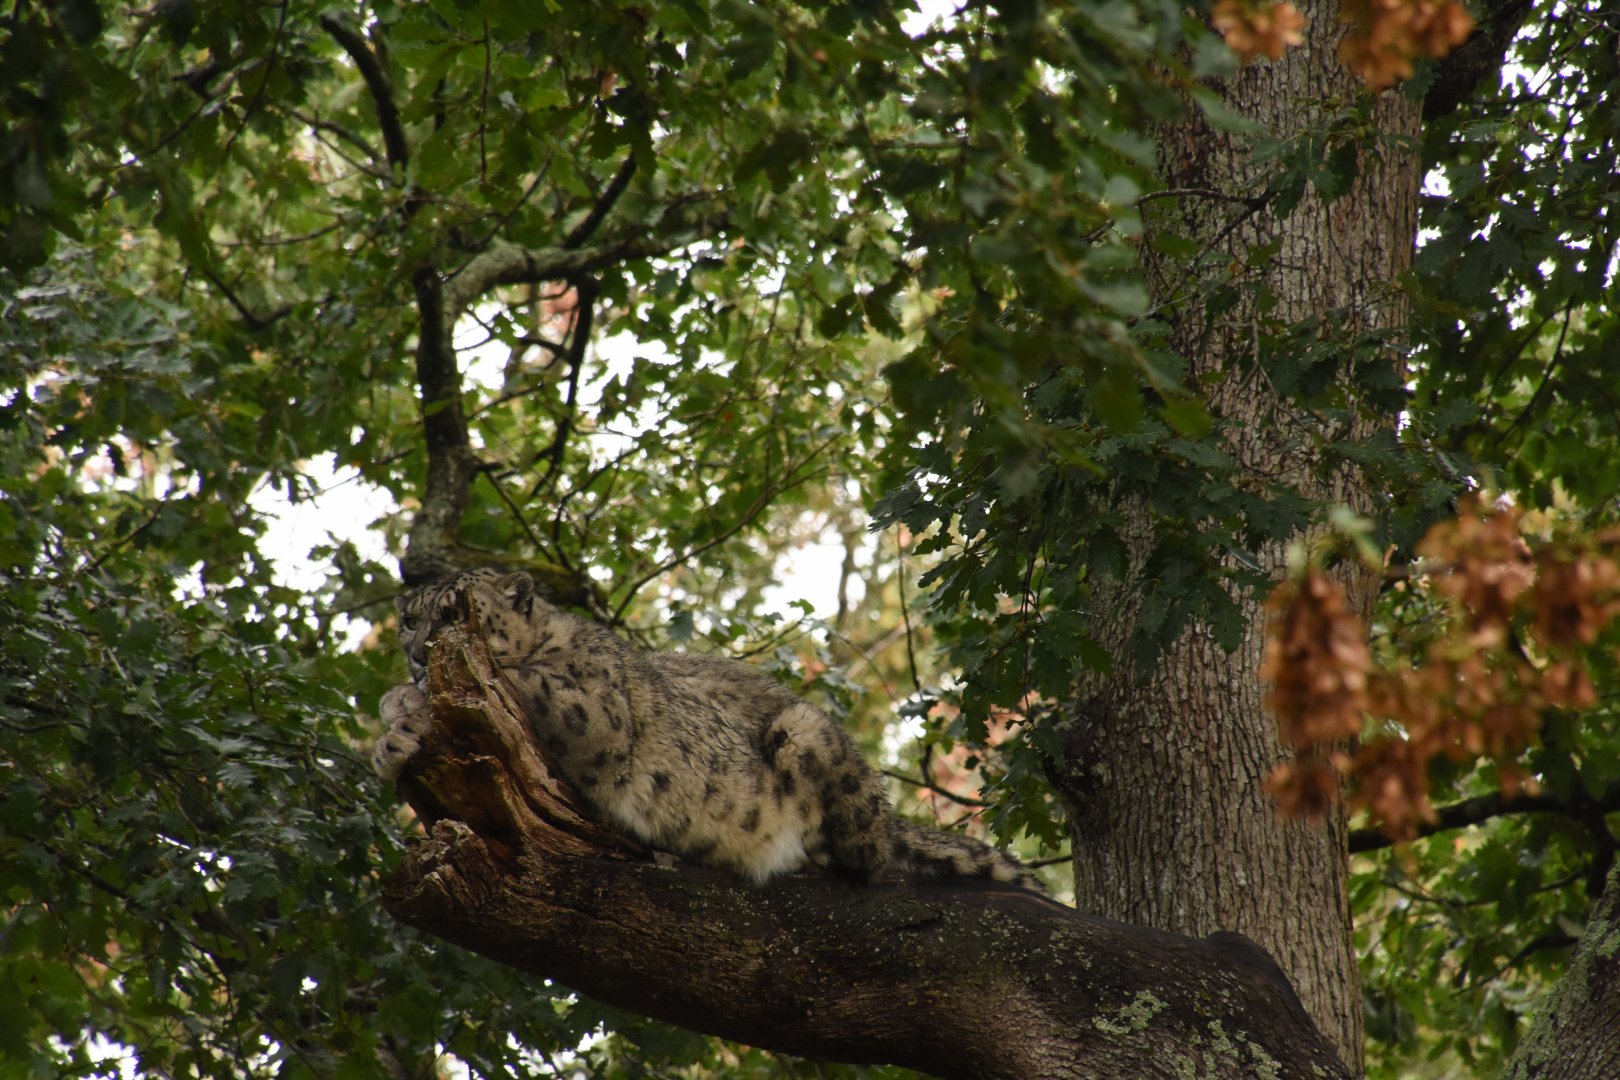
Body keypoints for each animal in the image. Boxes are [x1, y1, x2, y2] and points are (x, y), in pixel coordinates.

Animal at [372, 567, 1041, 891]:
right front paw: (393, 735)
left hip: (808, 735)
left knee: (871, 854)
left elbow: (530, 683)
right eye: (408, 619)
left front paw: (407, 701)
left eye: (456, 613)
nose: (419, 651)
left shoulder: (595, 713)